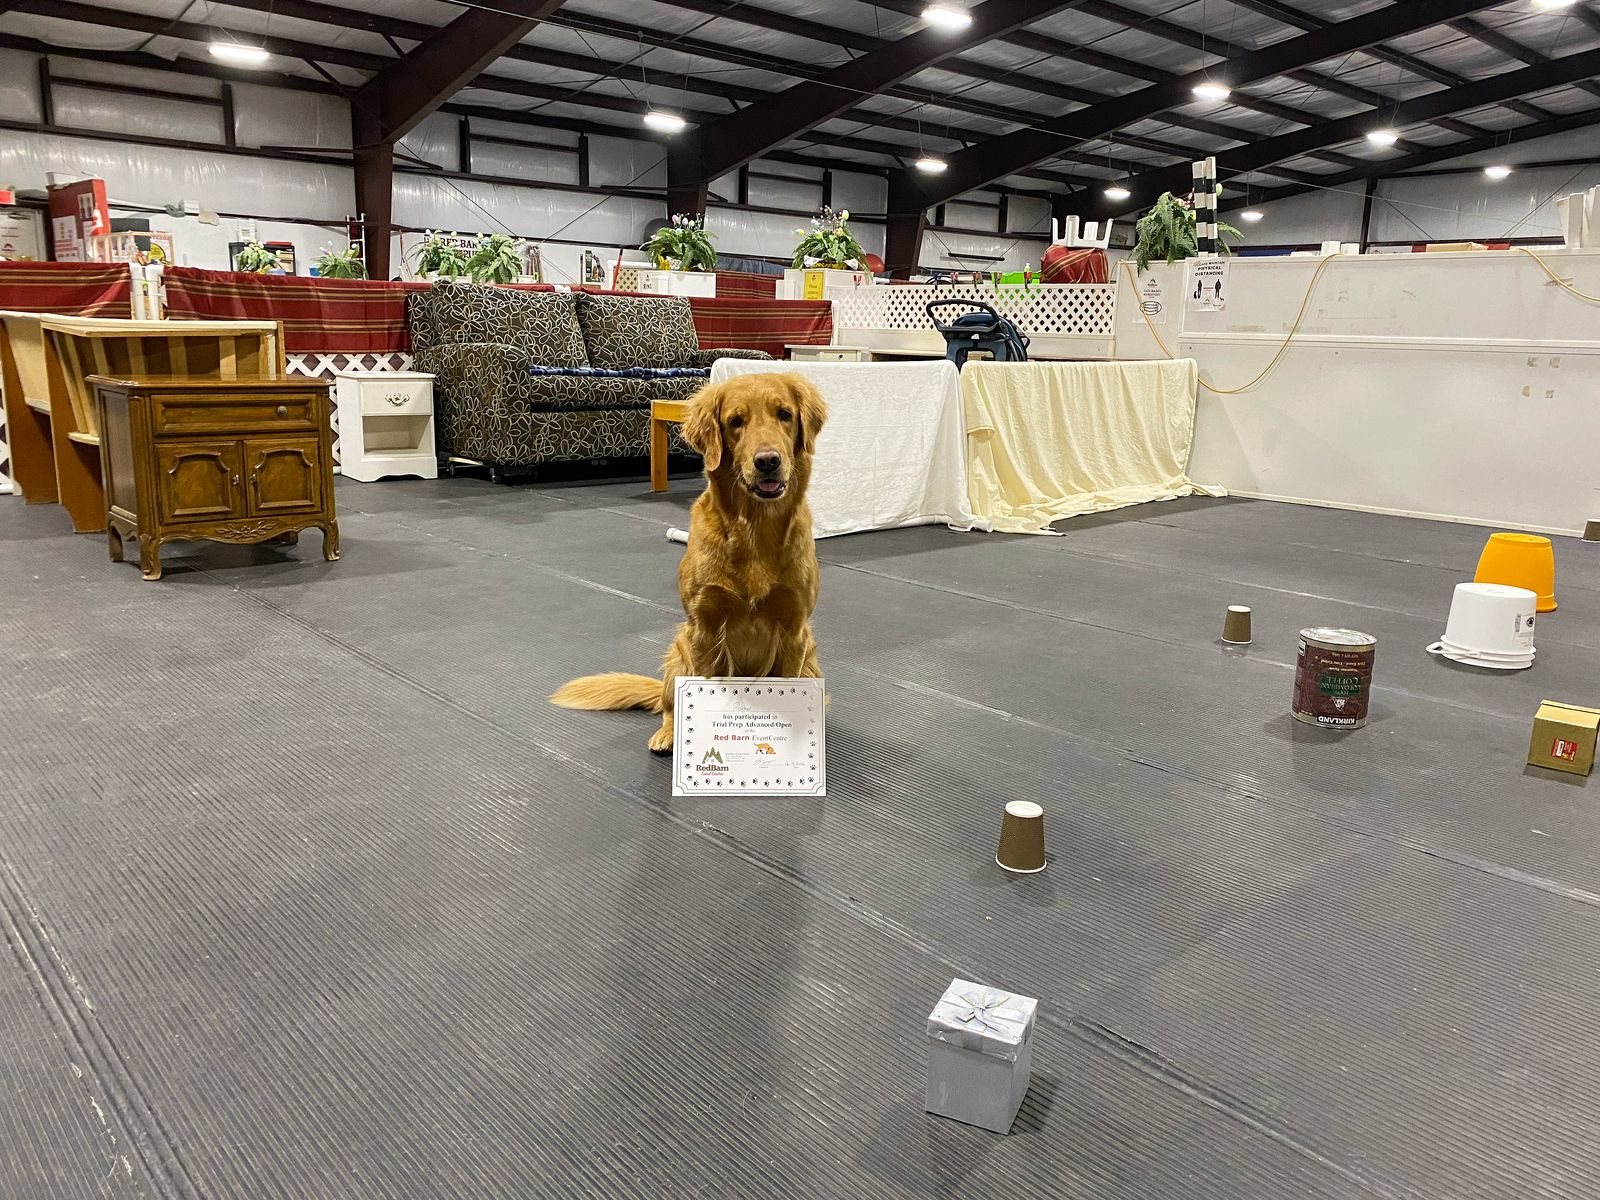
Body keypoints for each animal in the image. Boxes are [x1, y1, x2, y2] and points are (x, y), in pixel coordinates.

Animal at [552, 372, 828, 755]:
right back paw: (668, 735)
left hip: (812, 664)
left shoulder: (794, 629)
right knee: (669, 708)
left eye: (784, 414)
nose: (767, 461)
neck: (755, 529)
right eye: (736, 422)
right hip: (679, 650)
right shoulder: (705, 628)